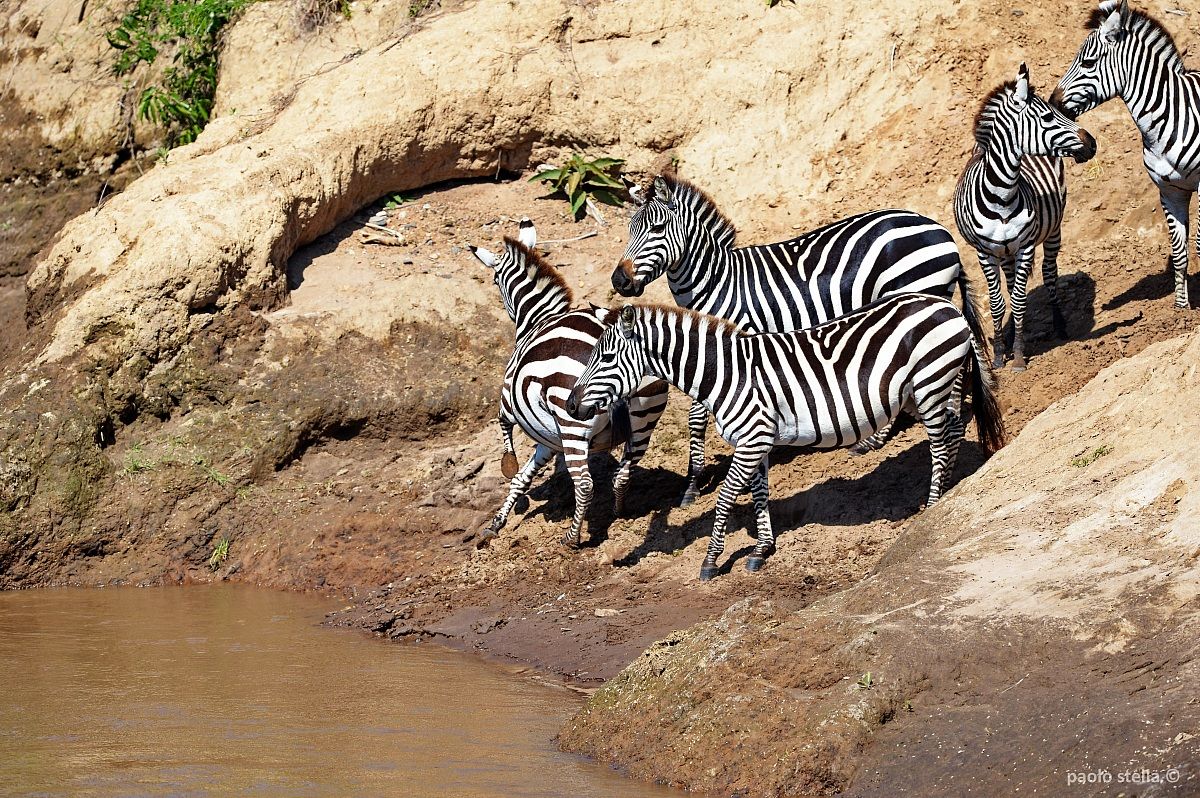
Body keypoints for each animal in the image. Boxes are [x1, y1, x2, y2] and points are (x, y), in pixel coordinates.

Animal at [469, 220, 669, 547]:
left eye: (495, 281)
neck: (537, 318)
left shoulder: (509, 404)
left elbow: (507, 445)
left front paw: (506, 479)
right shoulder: (549, 438)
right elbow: (523, 477)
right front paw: (498, 521)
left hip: (572, 419)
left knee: (585, 484)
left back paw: (571, 539)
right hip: (645, 419)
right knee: (623, 473)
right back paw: (619, 513)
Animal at [566, 295, 1006, 582]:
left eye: (606, 358)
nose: (570, 405)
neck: (725, 375)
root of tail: (948, 307)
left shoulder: (752, 440)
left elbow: (725, 499)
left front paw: (710, 561)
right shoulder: (757, 441)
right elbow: (759, 494)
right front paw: (762, 549)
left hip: (931, 384)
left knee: (941, 440)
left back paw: (931, 505)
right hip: (921, 391)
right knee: (953, 429)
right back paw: (945, 492)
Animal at [611, 174, 970, 506]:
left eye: (657, 228)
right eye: (630, 230)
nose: (619, 281)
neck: (716, 283)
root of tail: (937, 228)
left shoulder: (729, 352)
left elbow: (697, 419)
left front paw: (691, 487)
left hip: (922, 293)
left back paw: (886, 436)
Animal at [955, 63, 1098, 371]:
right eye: (1047, 116)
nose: (1091, 143)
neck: (1001, 195)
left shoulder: (1026, 246)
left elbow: (1019, 300)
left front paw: (1019, 356)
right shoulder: (985, 252)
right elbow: (997, 302)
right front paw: (999, 354)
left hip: (1053, 230)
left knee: (1049, 273)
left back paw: (1059, 326)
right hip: (1005, 253)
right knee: (1009, 286)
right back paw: (1008, 335)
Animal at [1053, 0, 1200, 309]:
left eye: (1088, 63)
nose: (1053, 102)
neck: (1167, 119)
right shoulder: (1170, 191)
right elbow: (1180, 253)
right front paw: (1181, 309)